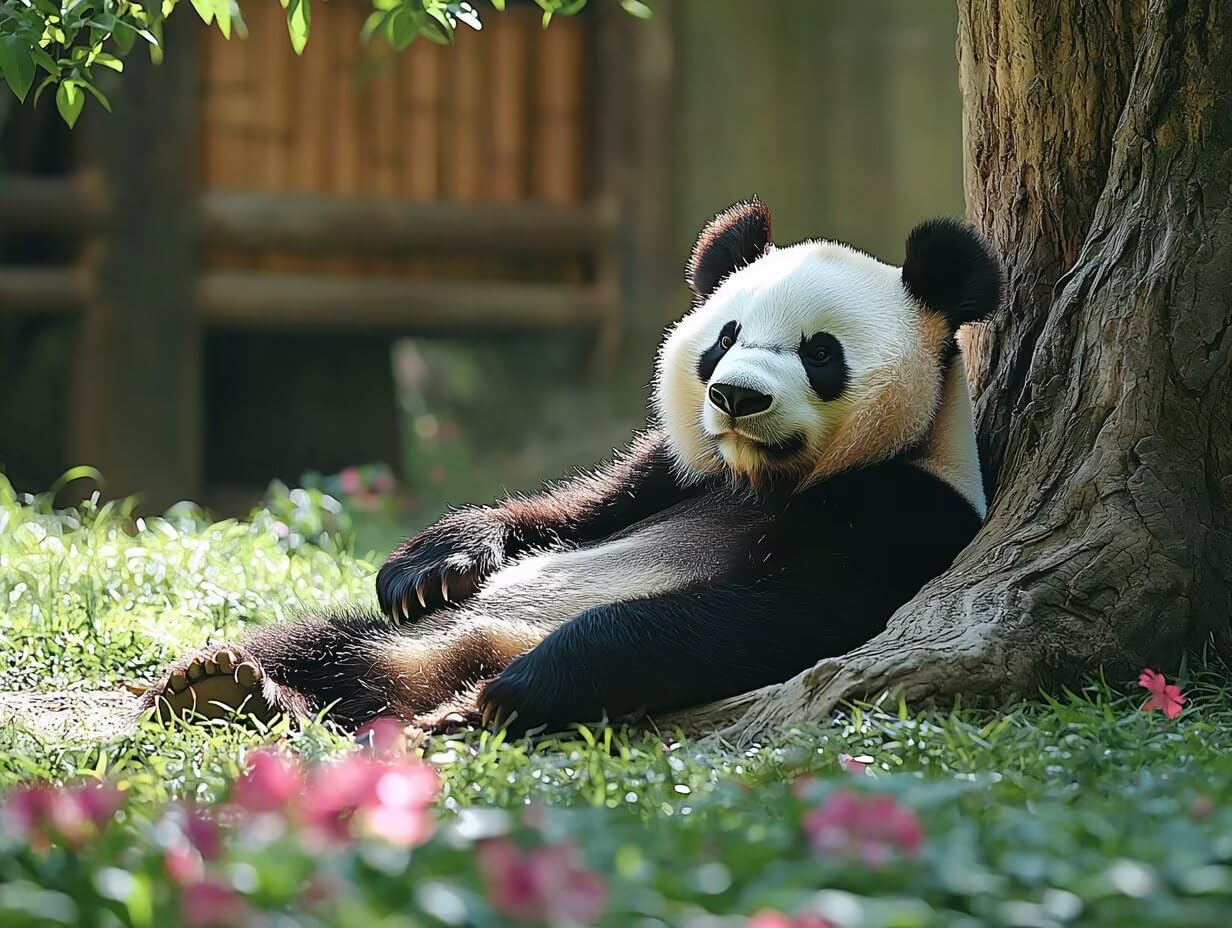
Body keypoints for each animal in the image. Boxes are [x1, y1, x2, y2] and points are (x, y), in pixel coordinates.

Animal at [145, 198, 1003, 735]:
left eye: (820, 353)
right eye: (725, 337)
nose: (735, 396)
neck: (766, 477)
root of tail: (434, 671)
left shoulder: (903, 511)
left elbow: (778, 612)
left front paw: (526, 688)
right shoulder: (675, 469)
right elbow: (573, 508)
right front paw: (430, 564)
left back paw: (466, 704)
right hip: (398, 641)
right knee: (316, 643)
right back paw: (226, 687)